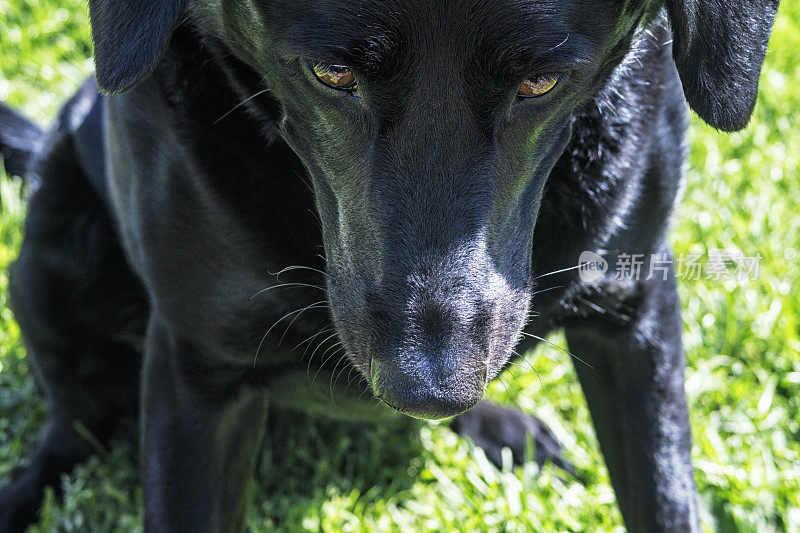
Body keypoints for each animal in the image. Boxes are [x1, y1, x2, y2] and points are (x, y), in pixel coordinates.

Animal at [0, 0, 780, 528]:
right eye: (331, 72)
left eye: (542, 83)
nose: (427, 383)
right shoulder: (197, 371)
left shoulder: (634, 313)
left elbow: (664, 491)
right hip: (52, 256)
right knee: (74, 428)